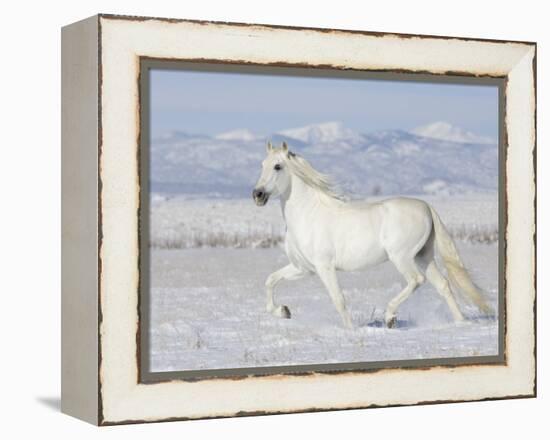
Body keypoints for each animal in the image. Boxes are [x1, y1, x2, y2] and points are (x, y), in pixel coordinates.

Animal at [252, 140, 494, 326]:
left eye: (277, 166)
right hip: (423, 256)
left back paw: (390, 317)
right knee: (443, 285)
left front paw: (350, 331)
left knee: (416, 280)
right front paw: (283, 311)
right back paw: (460, 322)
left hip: (402, 257)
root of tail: (426, 206)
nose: (258, 194)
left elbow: (338, 300)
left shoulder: (324, 267)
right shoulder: (303, 268)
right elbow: (270, 280)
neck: (308, 214)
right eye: (262, 164)